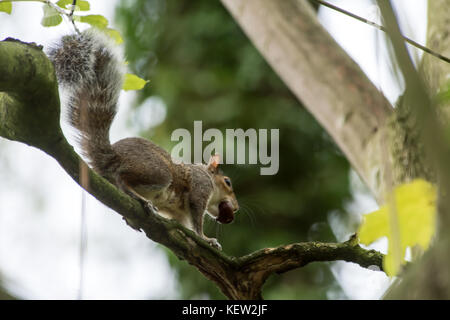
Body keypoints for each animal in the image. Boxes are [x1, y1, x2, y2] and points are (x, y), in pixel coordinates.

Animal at [48, 29, 239, 250]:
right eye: (228, 182)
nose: (236, 208)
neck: (205, 175)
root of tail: (112, 156)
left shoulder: (178, 213)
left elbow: (186, 228)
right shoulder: (199, 191)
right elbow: (197, 222)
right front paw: (208, 239)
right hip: (157, 173)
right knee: (123, 179)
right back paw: (140, 199)